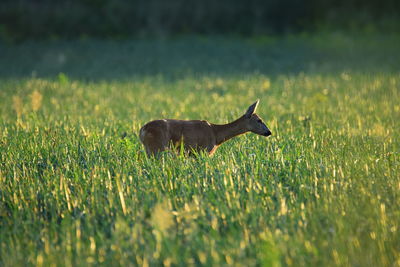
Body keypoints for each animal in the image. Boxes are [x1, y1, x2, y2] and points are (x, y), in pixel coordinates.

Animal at [138, 100, 272, 157]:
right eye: (259, 120)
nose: (269, 132)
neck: (216, 135)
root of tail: (142, 130)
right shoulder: (204, 150)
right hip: (157, 147)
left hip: (150, 148)